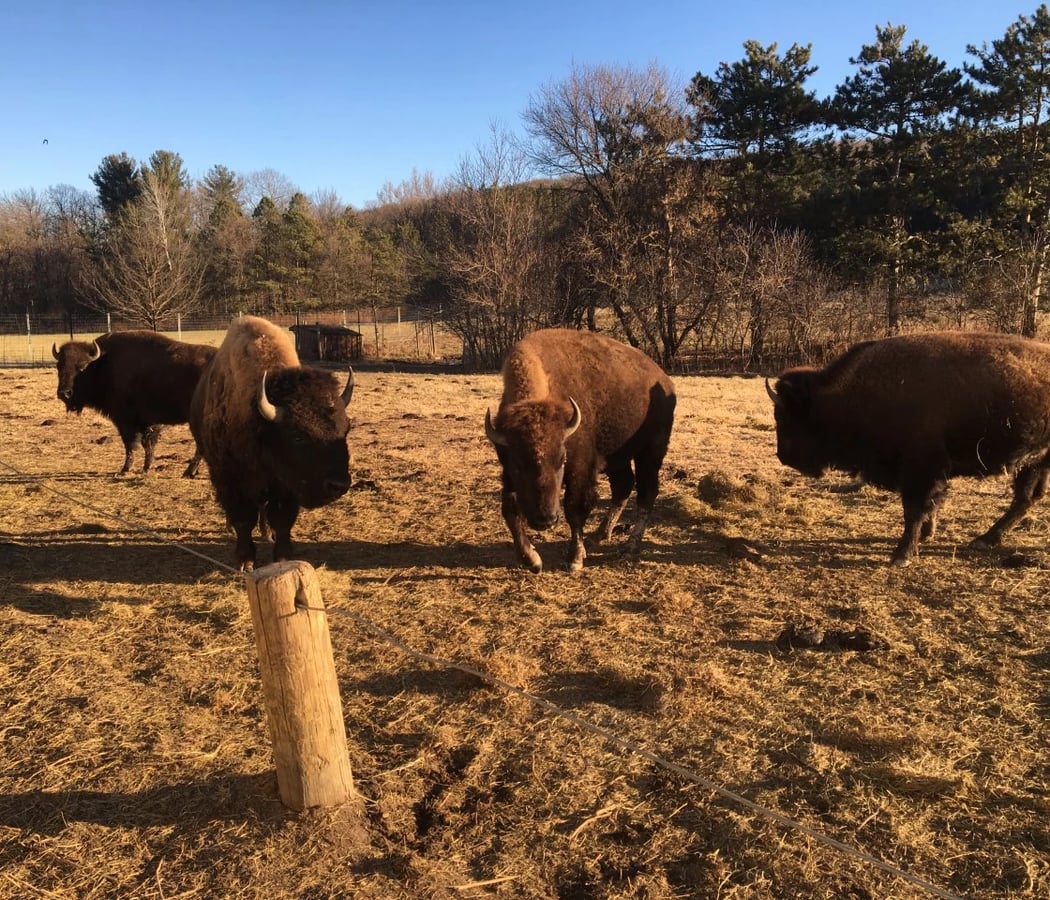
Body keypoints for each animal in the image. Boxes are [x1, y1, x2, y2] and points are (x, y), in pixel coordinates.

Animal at [53, 331, 216, 477]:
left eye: (82, 367)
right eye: (59, 366)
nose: (64, 393)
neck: (104, 363)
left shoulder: (126, 420)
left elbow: (131, 444)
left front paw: (125, 469)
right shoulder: (147, 421)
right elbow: (147, 444)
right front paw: (146, 467)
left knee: (201, 446)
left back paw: (189, 472)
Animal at [190, 315, 353, 571]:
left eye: (346, 430)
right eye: (297, 436)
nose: (338, 484)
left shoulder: (286, 486)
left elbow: (282, 519)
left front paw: (283, 557)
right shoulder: (230, 480)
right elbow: (243, 520)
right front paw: (245, 561)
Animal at [485, 328, 676, 572]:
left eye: (561, 460)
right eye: (518, 465)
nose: (545, 519)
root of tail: (665, 380)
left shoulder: (581, 468)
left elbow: (574, 509)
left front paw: (575, 559)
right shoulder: (507, 471)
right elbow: (510, 509)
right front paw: (532, 559)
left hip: (651, 452)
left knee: (646, 494)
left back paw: (629, 548)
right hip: (618, 458)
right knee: (623, 487)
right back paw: (599, 535)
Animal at [767, 330, 1050, 565]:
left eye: (785, 417)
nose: (783, 456)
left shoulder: (921, 469)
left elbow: (914, 508)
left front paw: (901, 555)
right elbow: (929, 505)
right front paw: (925, 535)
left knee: (1025, 497)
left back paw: (986, 540)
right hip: (1036, 461)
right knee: (1027, 497)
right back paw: (986, 539)